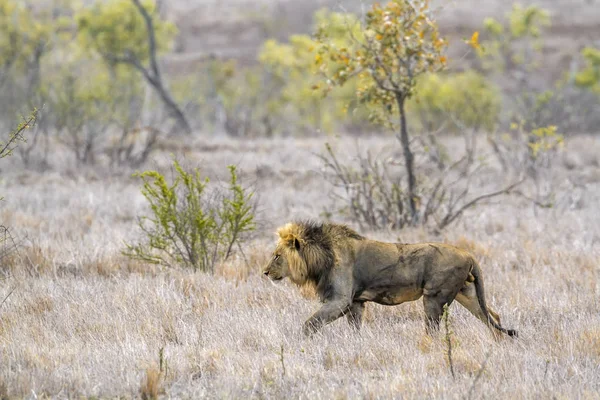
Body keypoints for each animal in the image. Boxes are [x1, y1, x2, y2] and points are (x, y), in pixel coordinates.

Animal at [262, 222, 516, 338]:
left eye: (277, 256)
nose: (264, 272)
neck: (321, 258)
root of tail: (468, 254)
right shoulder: (356, 302)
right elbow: (354, 329)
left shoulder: (340, 300)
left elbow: (310, 324)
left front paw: (300, 340)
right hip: (468, 294)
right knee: (492, 317)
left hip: (434, 297)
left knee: (432, 329)